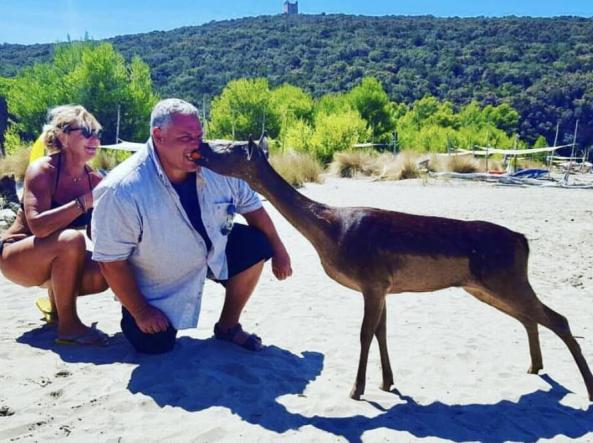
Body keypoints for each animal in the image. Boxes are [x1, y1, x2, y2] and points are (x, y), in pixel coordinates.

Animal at [193, 139, 592, 402]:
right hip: (486, 286)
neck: (330, 232)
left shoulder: (371, 280)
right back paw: (535, 369)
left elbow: (365, 334)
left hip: (504, 279)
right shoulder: (384, 286)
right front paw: (387, 383)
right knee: (531, 318)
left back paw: (585, 390)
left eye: (228, 147)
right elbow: (383, 333)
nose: (201, 148)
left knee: (558, 319)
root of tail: (524, 241)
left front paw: (356, 390)